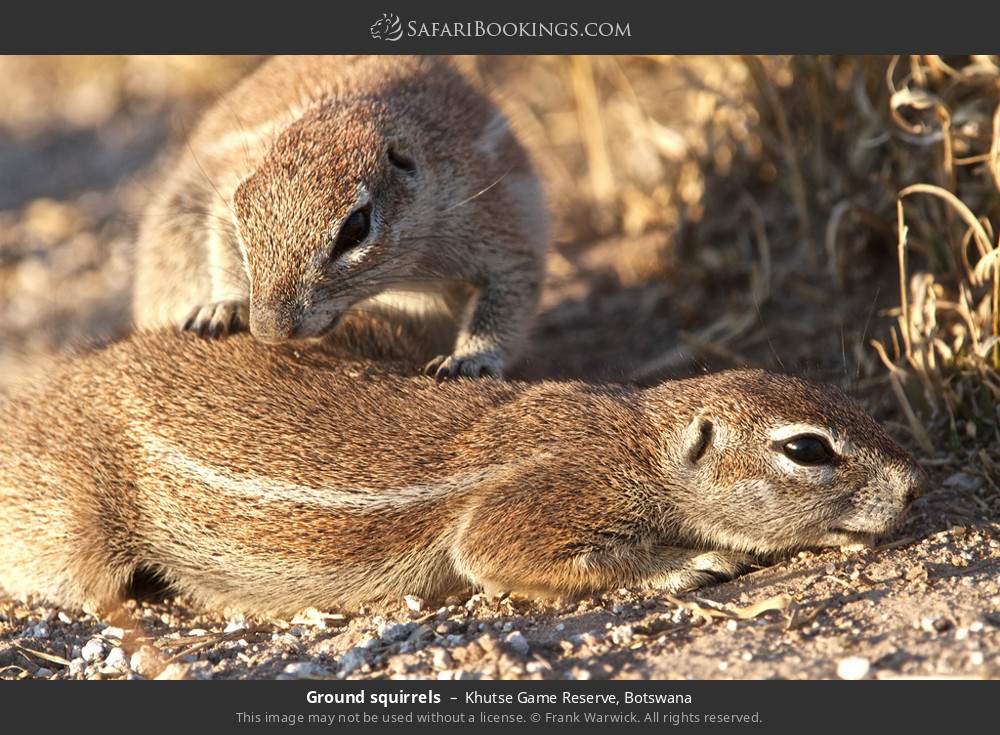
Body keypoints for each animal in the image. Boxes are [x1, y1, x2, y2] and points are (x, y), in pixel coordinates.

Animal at [0, 332, 926, 616]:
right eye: (807, 449)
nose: (916, 482)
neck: (640, 440)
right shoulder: (552, 494)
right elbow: (499, 551)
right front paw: (693, 560)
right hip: (77, 528)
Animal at [131, 55, 548, 379]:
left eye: (355, 229)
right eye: (243, 213)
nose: (268, 331)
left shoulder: (494, 217)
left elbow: (510, 287)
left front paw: (470, 358)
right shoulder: (227, 187)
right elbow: (221, 241)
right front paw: (224, 306)